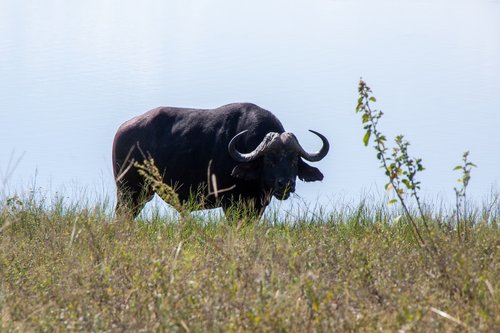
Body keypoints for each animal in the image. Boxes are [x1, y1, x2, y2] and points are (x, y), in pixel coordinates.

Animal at [114, 102, 332, 217]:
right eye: (270, 159)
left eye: (294, 160)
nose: (285, 184)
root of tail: (122, 130)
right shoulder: (231, 205)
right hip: (129, 192)